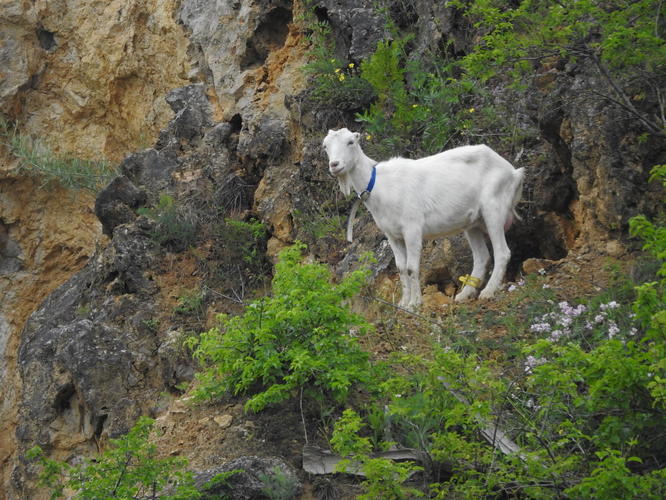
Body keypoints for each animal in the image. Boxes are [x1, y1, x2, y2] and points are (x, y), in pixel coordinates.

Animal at [322, 128, 524, 308]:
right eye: (325, 146)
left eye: (351, 142)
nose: (335, 165)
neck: (380, 186)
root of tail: (513, 173)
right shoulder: (392, 235)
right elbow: (401, 267)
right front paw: (403, 303)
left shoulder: (412, 228)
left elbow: (411, 267)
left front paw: (415, 303)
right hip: (472, 223)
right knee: (482, 257)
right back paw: (464, 294)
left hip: (493, 208)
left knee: (502, 252)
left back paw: (488, 292)